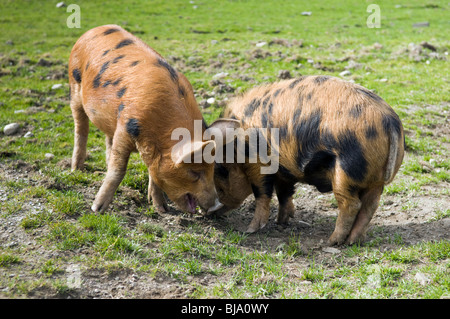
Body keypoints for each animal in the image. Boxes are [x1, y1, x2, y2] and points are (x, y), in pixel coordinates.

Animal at [69, 25, 223, 215]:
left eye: (212, 169)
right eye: (194, 172)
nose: (217, 206)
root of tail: (91, 31)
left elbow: (153, 174)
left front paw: (161, 209)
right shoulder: (125, 127)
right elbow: (118, 170)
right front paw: (97, 209)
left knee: (107, 138)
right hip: (74, 87)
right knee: (81, 129)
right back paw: (76, 170)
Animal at [213, 76, 406, 246]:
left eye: (220, 170)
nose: (209, 212)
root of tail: (390, 122)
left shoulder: (259, 164)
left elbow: (262, 193)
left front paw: (249, 230)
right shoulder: (284, 171)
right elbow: (284, 193)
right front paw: (281, 222)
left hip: (346, 172)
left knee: (351, 205)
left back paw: (332, 241)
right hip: (376, 178)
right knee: (369, 206)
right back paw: (353, 241)